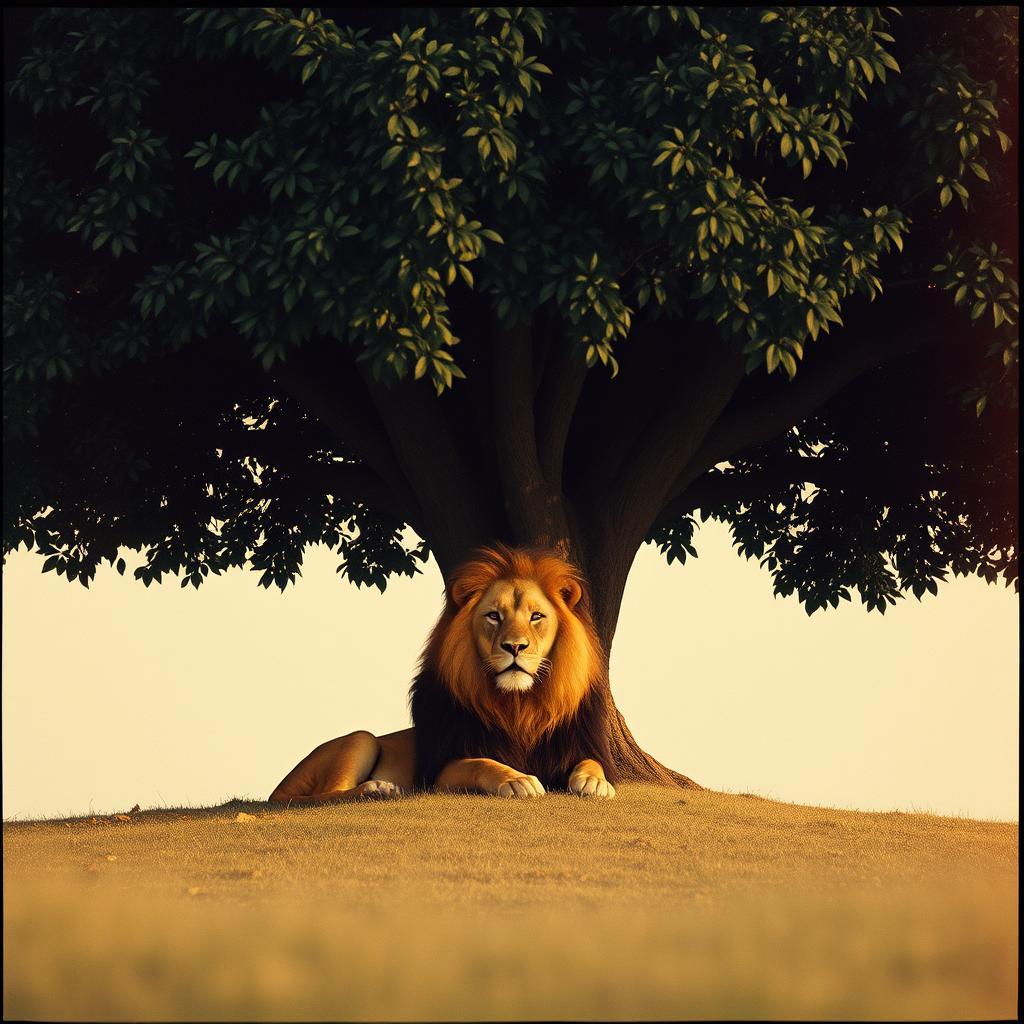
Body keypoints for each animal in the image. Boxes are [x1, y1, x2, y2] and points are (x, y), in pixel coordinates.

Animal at [268, 544, 617, 802]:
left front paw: (594, 782)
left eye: (536, 617)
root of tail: (279, 788)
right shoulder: (440, 772)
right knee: (326, 794)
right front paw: (516, 779)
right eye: (493, 616)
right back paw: (376, 789)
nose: (514, 647)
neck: (519, 706)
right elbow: (482, 762)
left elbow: (592, 761)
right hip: (361, 739)